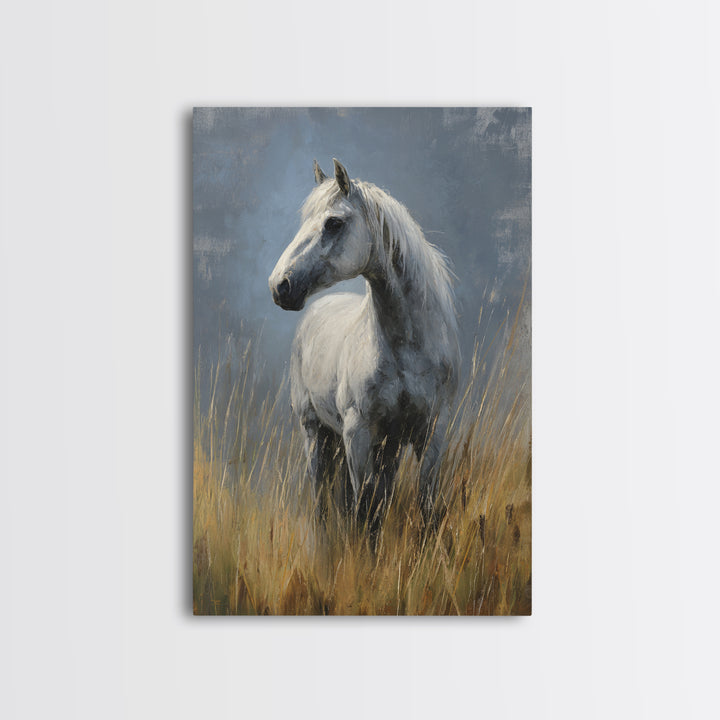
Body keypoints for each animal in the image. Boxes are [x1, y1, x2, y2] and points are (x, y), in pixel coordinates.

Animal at [269, 158, 460, 538]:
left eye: (334, 223)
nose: (279, 285)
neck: (406, 348)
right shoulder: (357, 434)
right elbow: (364, 514)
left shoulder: (431, 432)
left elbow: (425, 508)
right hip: (316, 433)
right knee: (322, 501)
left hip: (387, 447)